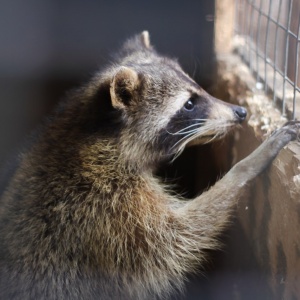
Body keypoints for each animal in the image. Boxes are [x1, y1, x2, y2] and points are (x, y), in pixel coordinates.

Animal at [0, 31, 298, 298]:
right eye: (189, 104)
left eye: (197, 89)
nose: (241, 112)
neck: (99, 137)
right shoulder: (105, 206)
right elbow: (177, 238)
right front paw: (246, 167)